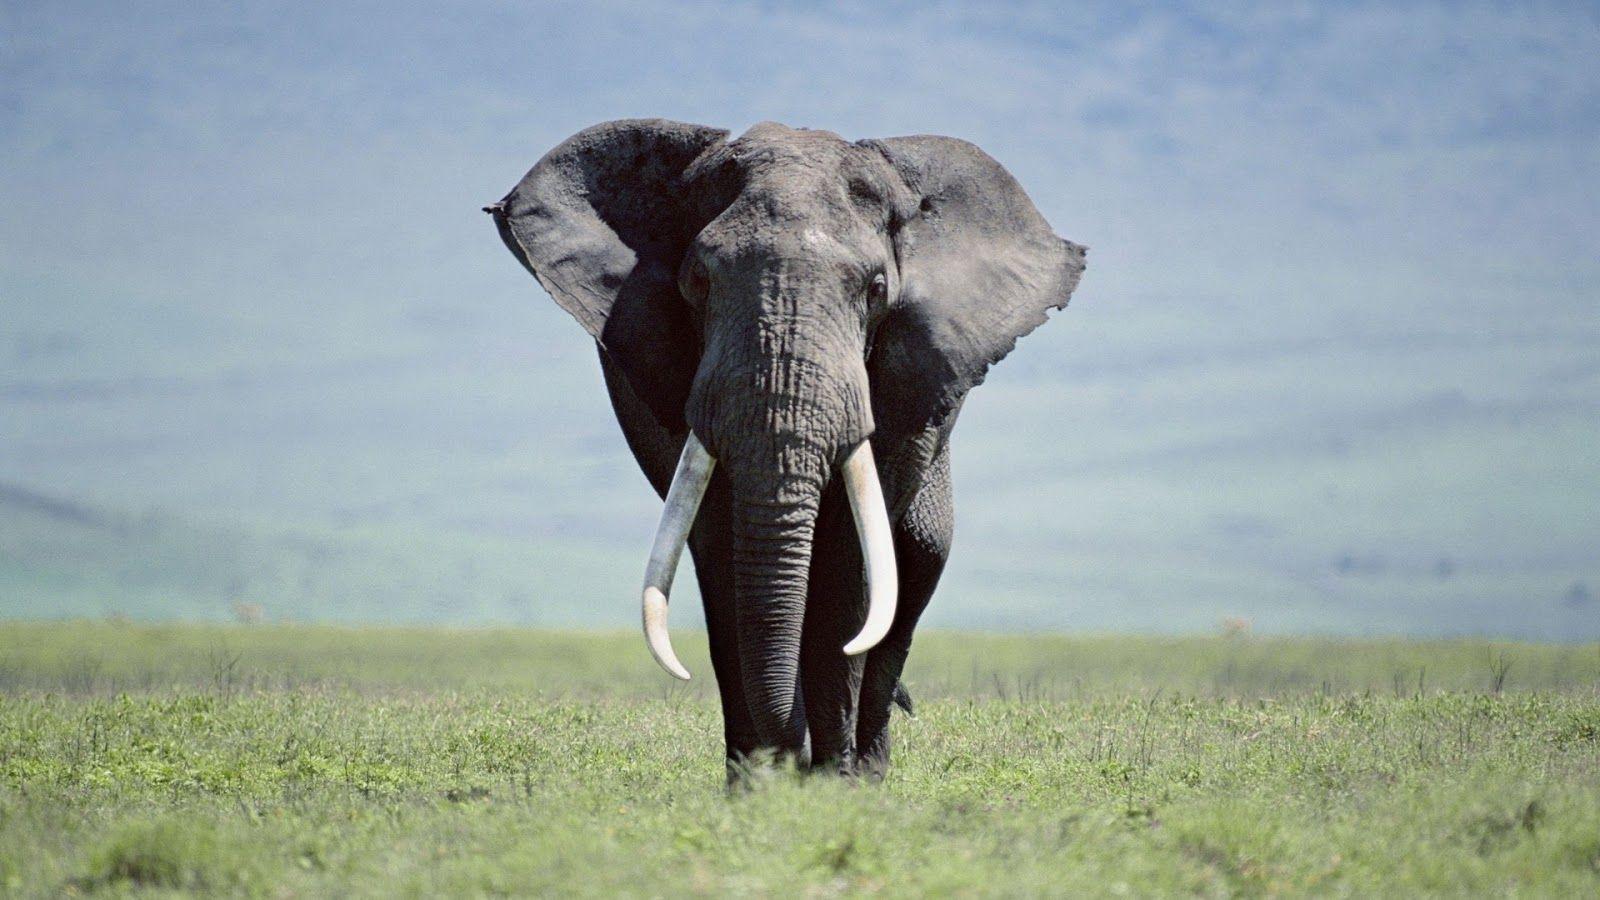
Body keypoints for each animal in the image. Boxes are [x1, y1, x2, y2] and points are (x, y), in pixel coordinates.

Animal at [486, 119, 1085, 779]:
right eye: (697, 281)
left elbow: (850, 558)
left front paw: (832, 784)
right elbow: (720, 545)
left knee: (920, 559)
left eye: (876, 289)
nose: (793, 759)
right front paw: (758, 783)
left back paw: (868, 770)